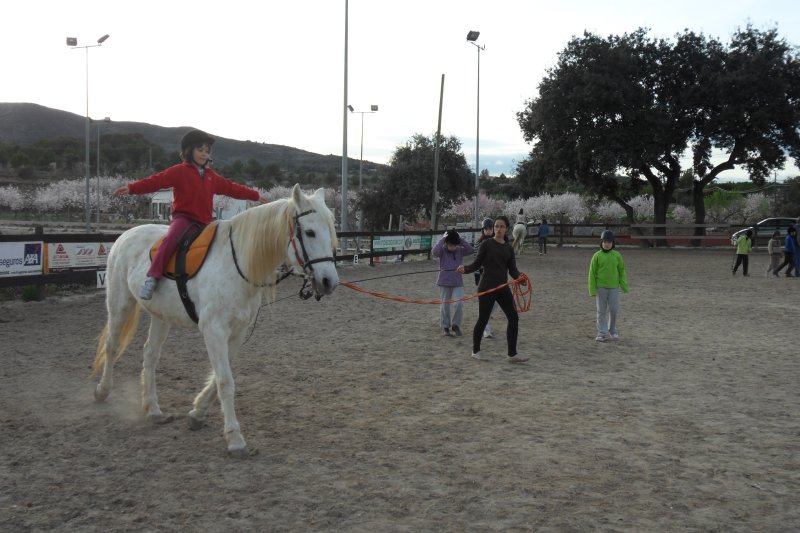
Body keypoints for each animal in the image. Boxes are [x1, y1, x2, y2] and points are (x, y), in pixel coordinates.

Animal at [92, 184, 338, 457]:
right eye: (310, 232)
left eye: (331, 230)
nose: (329, 281)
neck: (237, 263)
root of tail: (125, 235)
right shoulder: (214, 330)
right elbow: (225, 380)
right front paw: (235, 439)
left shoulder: (237, 331)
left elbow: (221, 374)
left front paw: (197, 412)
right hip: (120, 304)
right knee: (112, 346)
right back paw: (102, 390)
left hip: (161, 316)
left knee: (150, 355)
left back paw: (153, 409)